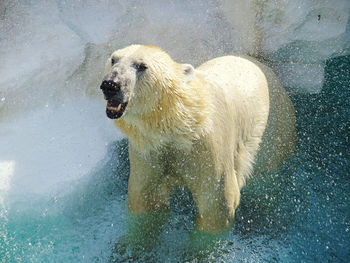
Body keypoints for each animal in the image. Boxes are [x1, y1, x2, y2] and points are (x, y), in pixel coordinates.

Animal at [100, 44, 296, 235]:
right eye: (113, 59)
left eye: (142, 66)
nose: (111, 85)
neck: (179, 127)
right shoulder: (148, 151)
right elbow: (146, 199)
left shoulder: (208, 150)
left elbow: (216, 208)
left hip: (275, 133)